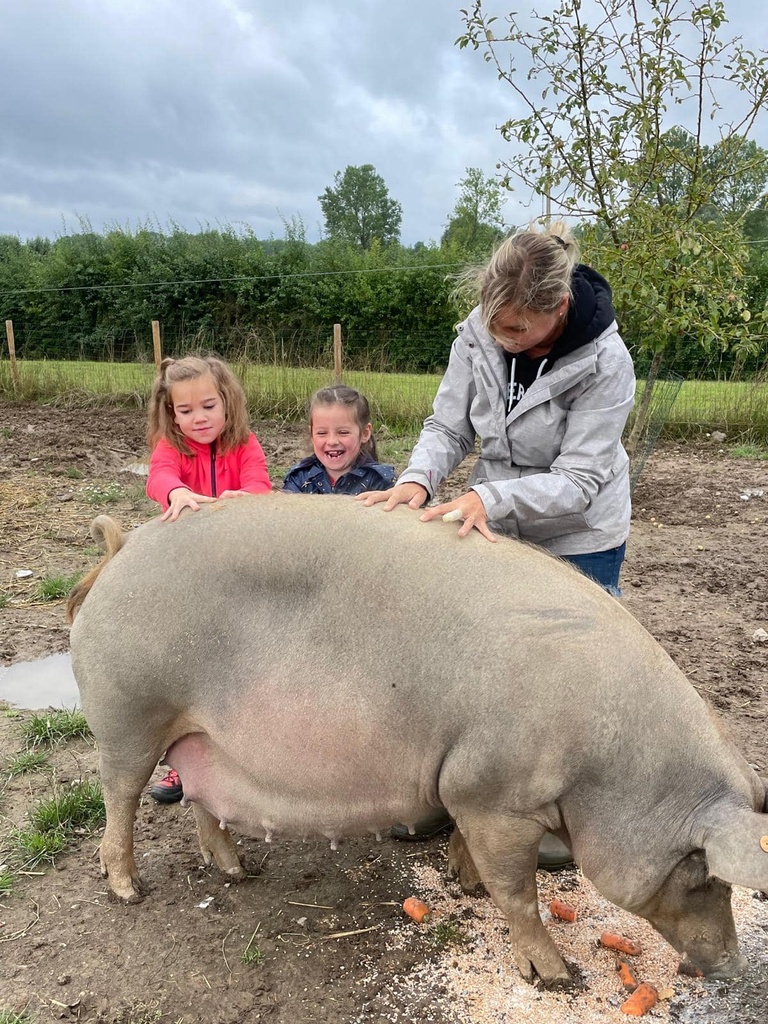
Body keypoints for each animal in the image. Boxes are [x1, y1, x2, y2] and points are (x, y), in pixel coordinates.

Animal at [67, 491, 768, 987]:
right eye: (704, 877)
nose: (735, 968)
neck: (610, 765)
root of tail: (121, 547)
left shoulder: (469, 789)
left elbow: (476, 858)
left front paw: (464, 883)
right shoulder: (493, 791)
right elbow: (520, 894)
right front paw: (558, 977)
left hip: (196, 734)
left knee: (200, 800)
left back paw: (238, 871)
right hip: (128, 711)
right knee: (119, 797)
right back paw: (129, 890)